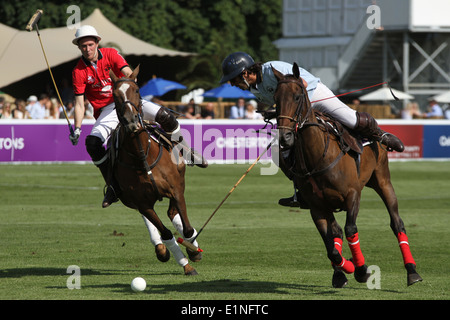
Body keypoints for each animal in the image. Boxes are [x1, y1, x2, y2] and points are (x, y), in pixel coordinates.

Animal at [108, 67, 200, 276]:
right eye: (114, 95)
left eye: (137, 90)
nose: (131, 121)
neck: (142, 156)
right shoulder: (141, 202)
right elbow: (165, 232)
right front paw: (184, 263)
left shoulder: (175, 189)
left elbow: (187, 229)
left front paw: (192, 250)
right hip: (133, 201)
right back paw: (161, 249)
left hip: (179, 182)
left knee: (173, 213)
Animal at [272, 63, 424, 288]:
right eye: (275, 98)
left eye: (297, 97)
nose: (286, 138)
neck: (318, 155)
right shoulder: (317, 207)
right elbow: (331, 247)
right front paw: (347, 267)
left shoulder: (352, 195)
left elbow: (351, 229)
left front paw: (360, 270)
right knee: (336, 233)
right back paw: (341, 273)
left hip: (383, 180)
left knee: (397, 222)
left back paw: (412, 271)